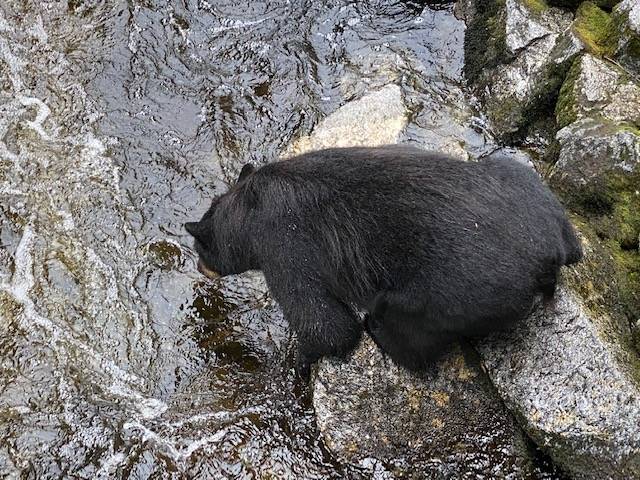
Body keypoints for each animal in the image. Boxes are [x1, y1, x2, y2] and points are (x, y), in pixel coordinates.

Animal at [185, 145, 582, 376]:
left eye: (201, 251)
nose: (200, 268)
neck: (250, 207)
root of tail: (547, 254)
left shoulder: (284, 244)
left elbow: (325, 321)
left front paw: (301, 362)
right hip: (524, 185)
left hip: (456, 293)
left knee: (407, 328)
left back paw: (380, 332)